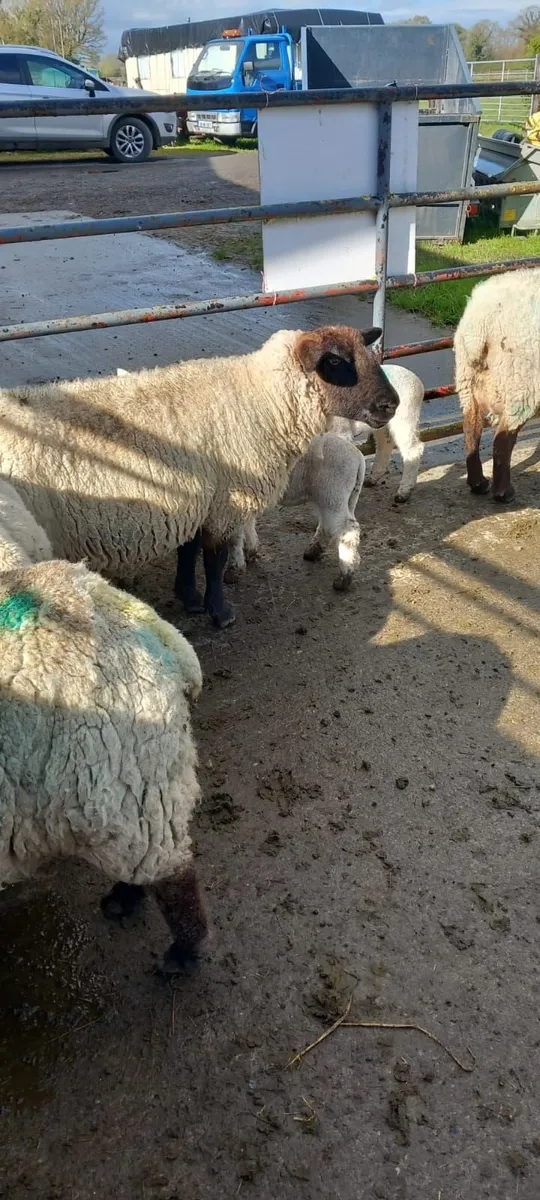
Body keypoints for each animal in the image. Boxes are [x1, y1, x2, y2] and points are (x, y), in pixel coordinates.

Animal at [454, 267, 540, 502]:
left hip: (469, 381)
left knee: (471, 427)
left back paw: (478, 483)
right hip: (522, 383)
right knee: (502, 440)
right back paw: (503, 493)